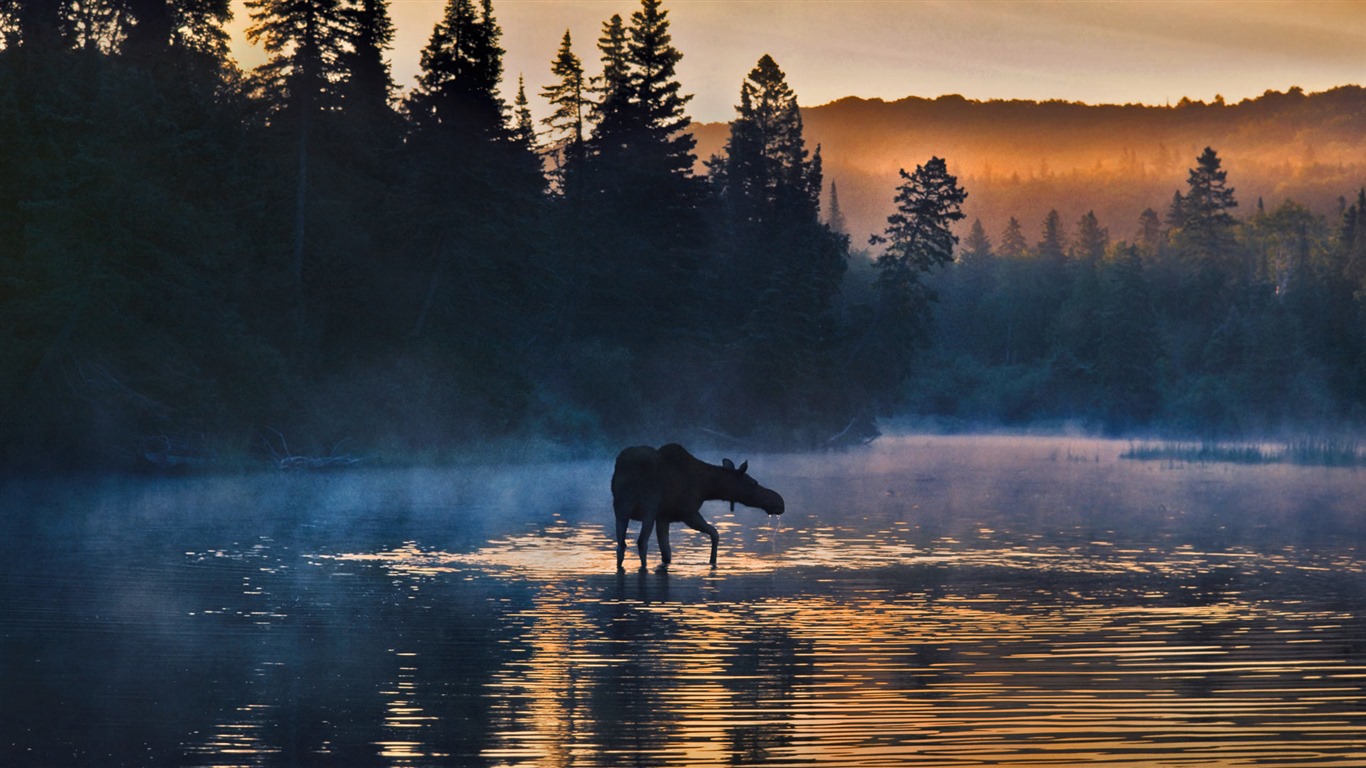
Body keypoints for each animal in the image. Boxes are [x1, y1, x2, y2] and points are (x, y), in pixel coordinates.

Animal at [611, 442, 786, 568]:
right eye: (753, 483)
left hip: (621, 508)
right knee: (641, 542)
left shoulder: (663, 517)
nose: (779, 502)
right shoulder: (687, 512)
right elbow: (715, 533)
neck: (707, 487)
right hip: (648, 507)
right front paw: (712, 561)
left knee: (621, 545)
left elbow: (666, 553)